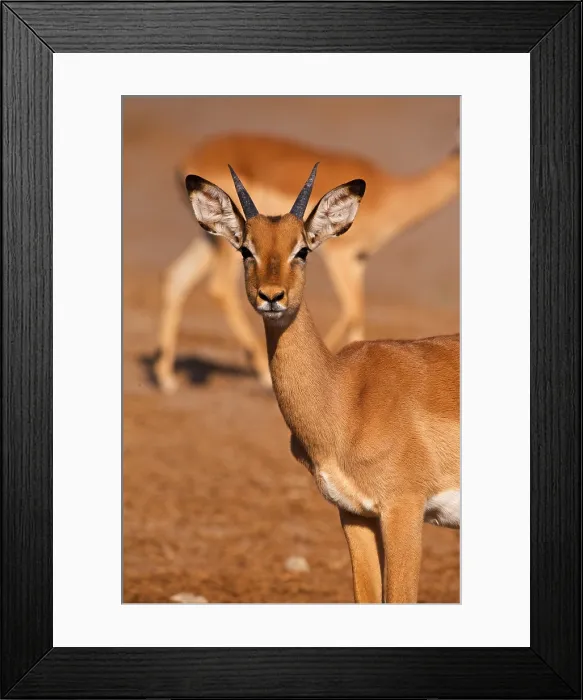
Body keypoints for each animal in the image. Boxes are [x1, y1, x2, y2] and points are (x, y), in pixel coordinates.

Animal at [154, 131, 459, 393]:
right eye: (248, 251)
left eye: (301, 251)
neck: (389, 194)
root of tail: (190, 157)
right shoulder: (341, 256)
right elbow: (352, 311)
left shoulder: (359, 261)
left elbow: (358, 313)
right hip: (224, 244)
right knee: (218, 287)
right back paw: (261, 372)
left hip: (210, 238)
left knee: (177, 277)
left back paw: (166, 377)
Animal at [184, 163, 460, 603]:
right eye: (246, 249)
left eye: (302, 249)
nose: (272, 296)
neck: (344, 395)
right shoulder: (353, 513)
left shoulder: (404, 510)